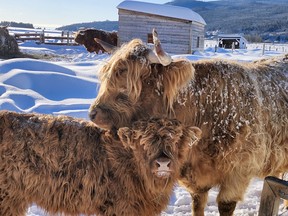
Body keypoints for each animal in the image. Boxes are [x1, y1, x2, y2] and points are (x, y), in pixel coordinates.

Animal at [88, 29, 288, 215]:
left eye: (131, 83)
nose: (93, 113)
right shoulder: (195, 179)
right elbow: (197, 205)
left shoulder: (239, 171)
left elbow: (225, 206)